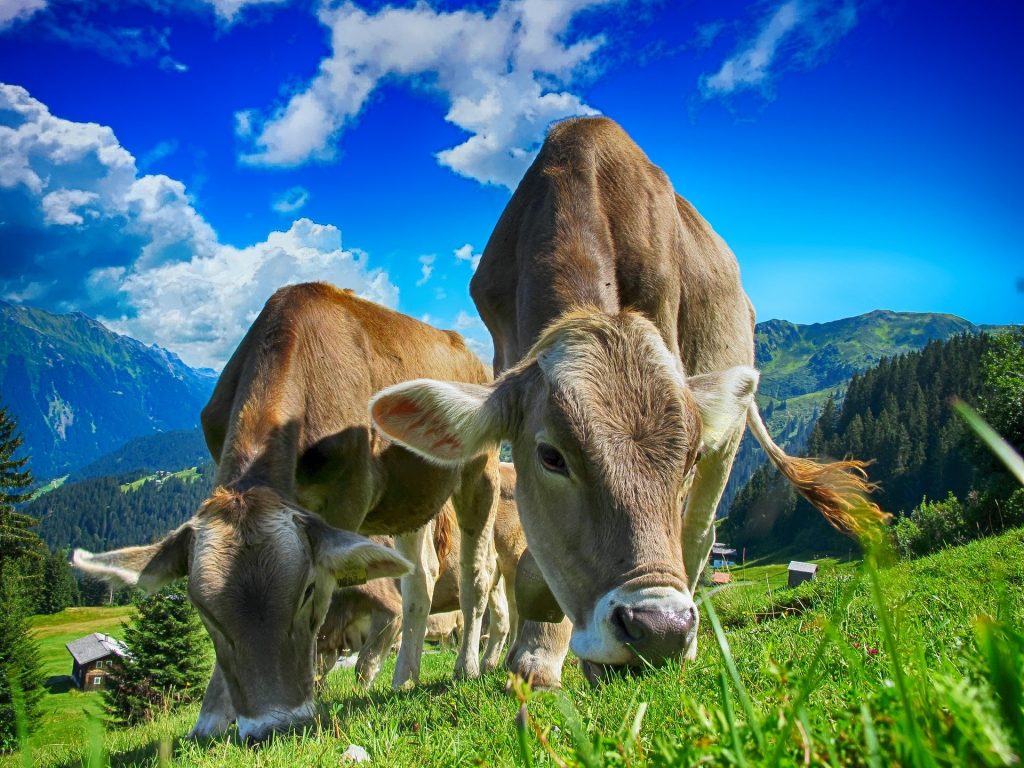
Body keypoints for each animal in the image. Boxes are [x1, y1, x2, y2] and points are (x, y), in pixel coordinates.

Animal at [73, 283, 500, 741]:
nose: (273, 726)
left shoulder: (347, 501)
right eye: (203, 610)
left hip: (480, 471)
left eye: (307, 591)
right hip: (409, 500)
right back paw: (405, 678)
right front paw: (210, 719)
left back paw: (467, 667)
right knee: (420, 579)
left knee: (477, 574)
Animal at [369, 117, 885, 688]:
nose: (660, 629)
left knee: (699, 533)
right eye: (551, 456)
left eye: (687, 457)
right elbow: (533, 559)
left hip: (728, 437)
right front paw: (535, 656)